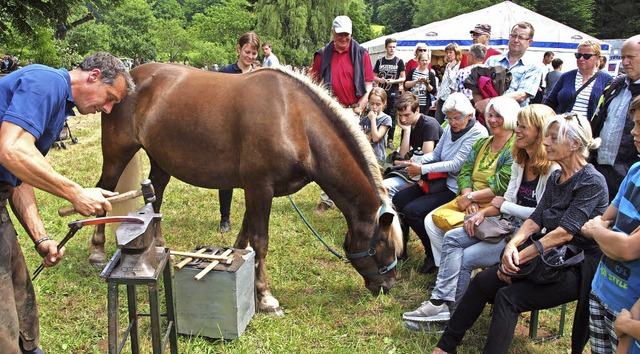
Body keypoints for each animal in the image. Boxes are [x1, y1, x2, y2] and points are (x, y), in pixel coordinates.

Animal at [91, 63, 400, 312]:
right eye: (385, 244)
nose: (387, 286)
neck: (295, 120)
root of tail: (130, 76)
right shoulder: (259, 186)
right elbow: (260, 241)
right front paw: (265, 297)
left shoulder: (257, 189)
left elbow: (245, 237)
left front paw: (239, 268)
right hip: (117, 154)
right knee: (104, 193)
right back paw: (97, 251)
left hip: (160, 162)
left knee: (155, 196)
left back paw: (157, 245)